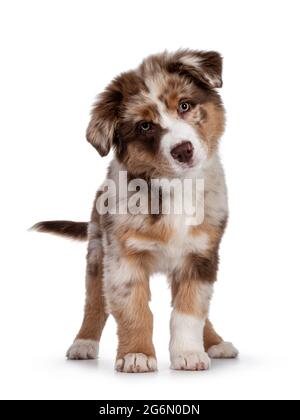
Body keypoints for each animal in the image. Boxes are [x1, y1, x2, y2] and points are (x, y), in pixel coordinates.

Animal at [32, 50, 238, 374]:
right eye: (145, 126)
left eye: (185, 105)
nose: (183, 151)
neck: (175, 186)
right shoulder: (122, 259)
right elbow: (134, 310)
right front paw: (136, 355)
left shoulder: (201, 256)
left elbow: (190, 310)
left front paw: (189, 353)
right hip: (97, 251)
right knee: (94, 302)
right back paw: (83, 343)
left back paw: (215, 343)